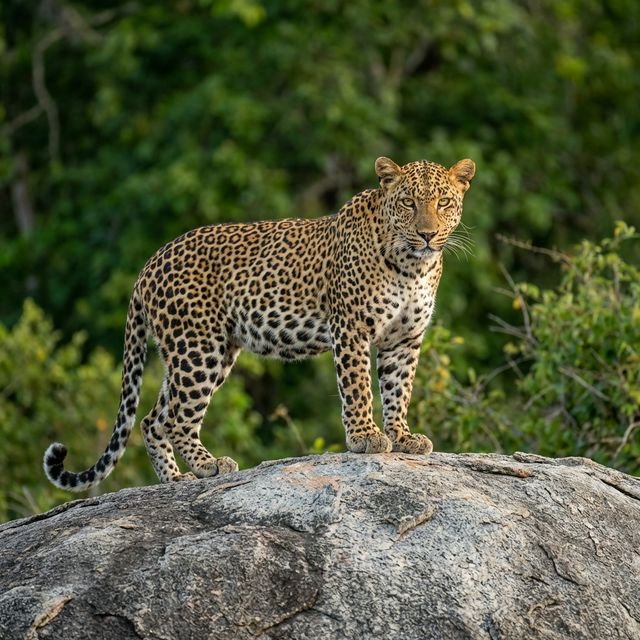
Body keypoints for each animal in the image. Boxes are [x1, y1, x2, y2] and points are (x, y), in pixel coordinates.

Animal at [44, 155, 475, 491]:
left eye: (443, 202)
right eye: (408, 202)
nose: (427, 234)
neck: (412, 267)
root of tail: (149, 263)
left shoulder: (404, 339)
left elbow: (398, 390)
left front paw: (403, 437)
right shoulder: (351, 329)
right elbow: (358, 388)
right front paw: (365, 438)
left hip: (197, 352)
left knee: (154, 419)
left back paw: (175, 480)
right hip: (199, 347)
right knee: (178, 419)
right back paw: (209, 465)